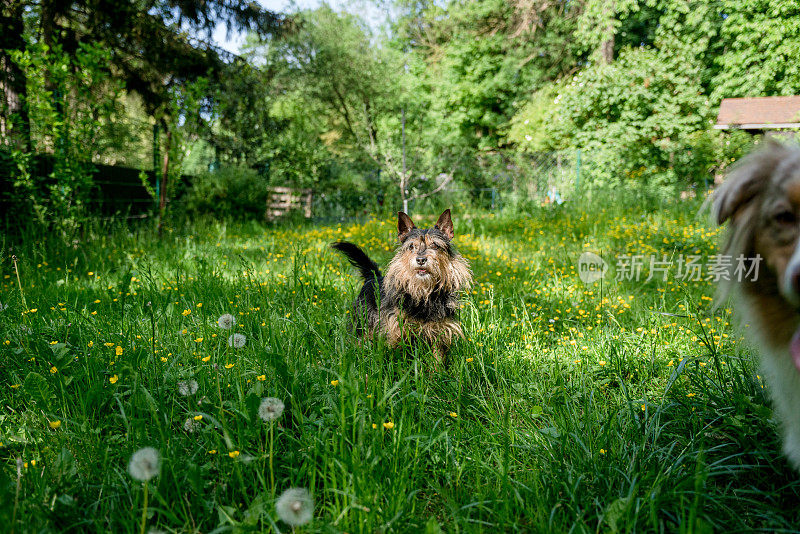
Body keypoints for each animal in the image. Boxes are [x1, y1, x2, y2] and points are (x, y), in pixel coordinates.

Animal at [330, 207, 472, 362]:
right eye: (411, 246)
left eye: (435, 245)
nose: (420, 259)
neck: (423, 294)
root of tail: (373, 277)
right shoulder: (398, 330)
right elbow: (400, 358)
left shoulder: (440, 332)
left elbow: (438, 358)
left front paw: (438, 369)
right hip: (364, 323)